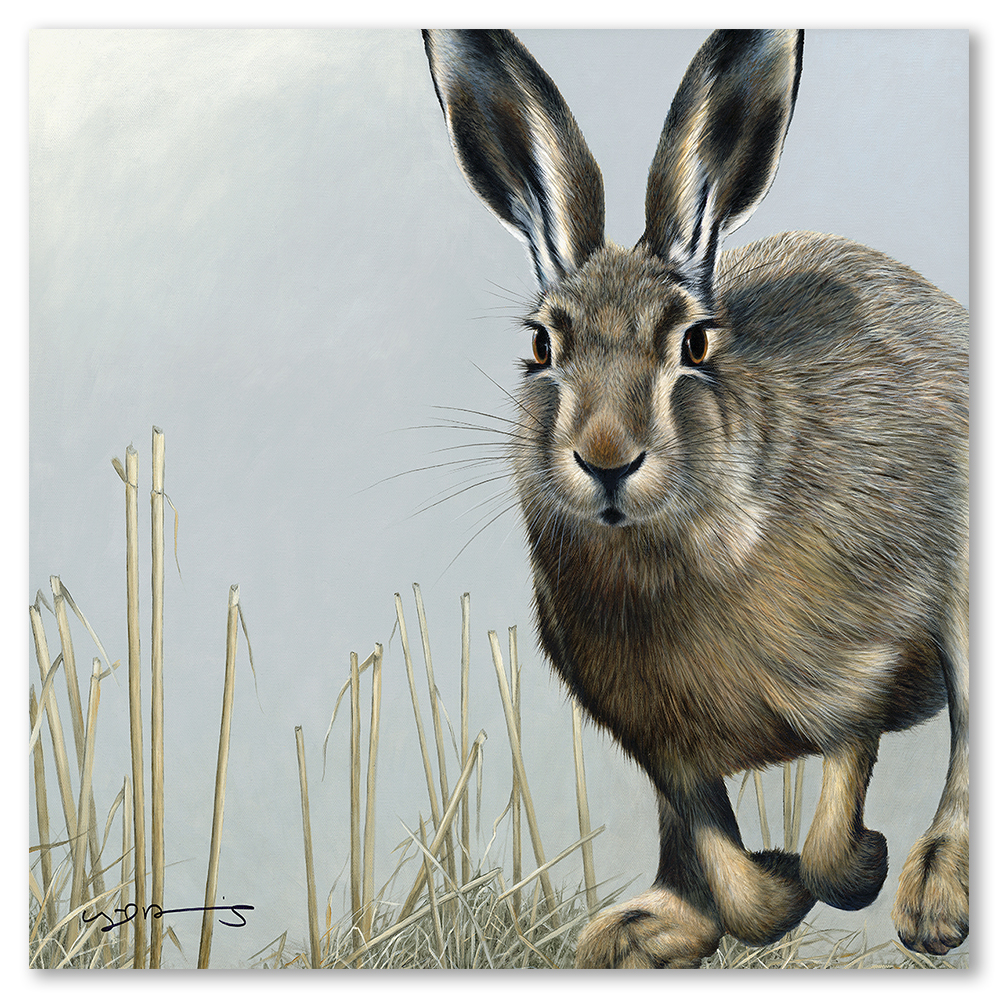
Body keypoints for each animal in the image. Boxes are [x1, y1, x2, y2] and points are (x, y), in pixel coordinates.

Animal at [422, 28, 968, 968]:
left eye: (696, 343)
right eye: (542, 345)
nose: (607, 457)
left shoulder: (866, 665)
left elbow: (837, 804)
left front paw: (851, 864)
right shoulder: (663, 748)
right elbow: (724, 862)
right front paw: (767, 889)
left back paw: (931, 899)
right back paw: (637, 931)